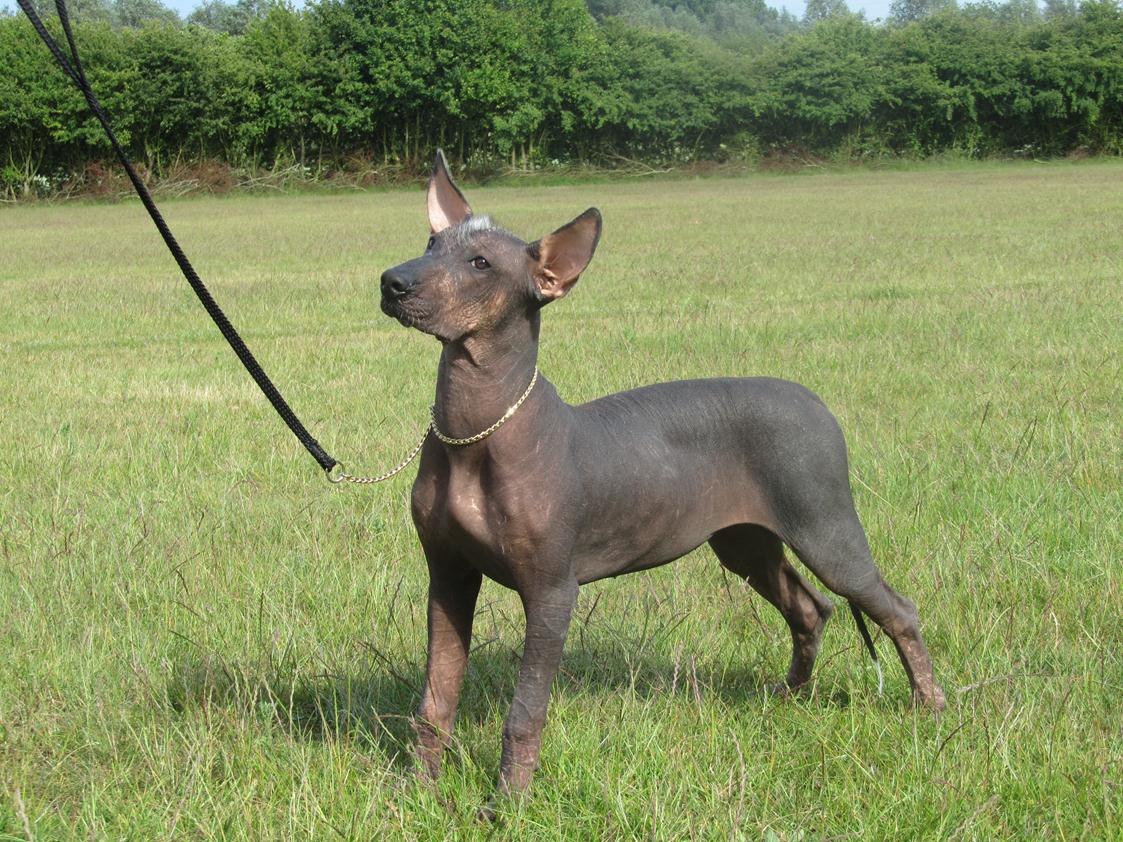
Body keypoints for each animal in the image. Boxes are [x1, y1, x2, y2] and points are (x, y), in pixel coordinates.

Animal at [379, 150, 947, 812]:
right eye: (431, 243)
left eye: (480, 264)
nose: (392, 282)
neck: (474, 433)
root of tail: (815, 401)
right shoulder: (448, 575)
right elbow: (435, 698)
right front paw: (418, 792)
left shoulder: (551, 591)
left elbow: (524, 712)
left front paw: (508, 805)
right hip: (745, 545)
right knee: (811, 608)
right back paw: (791, 697)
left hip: (825, 528)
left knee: (895, 608)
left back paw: (930, 706)